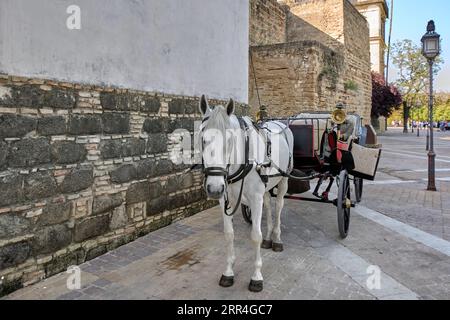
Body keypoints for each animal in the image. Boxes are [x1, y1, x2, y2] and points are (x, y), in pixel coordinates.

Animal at [199, 95, 294, 292]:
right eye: (203, 138)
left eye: (230, 140)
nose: (214, 188)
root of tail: (279, 123)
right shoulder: (225, 199)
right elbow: (229, 234)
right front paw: (228, 271)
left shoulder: (255, 198)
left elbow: (255, 236)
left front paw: (256, 276)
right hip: (265, 188)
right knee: (268, 205)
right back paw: (269, 238)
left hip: (284, 180)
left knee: (279, 206)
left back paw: (277, 238)